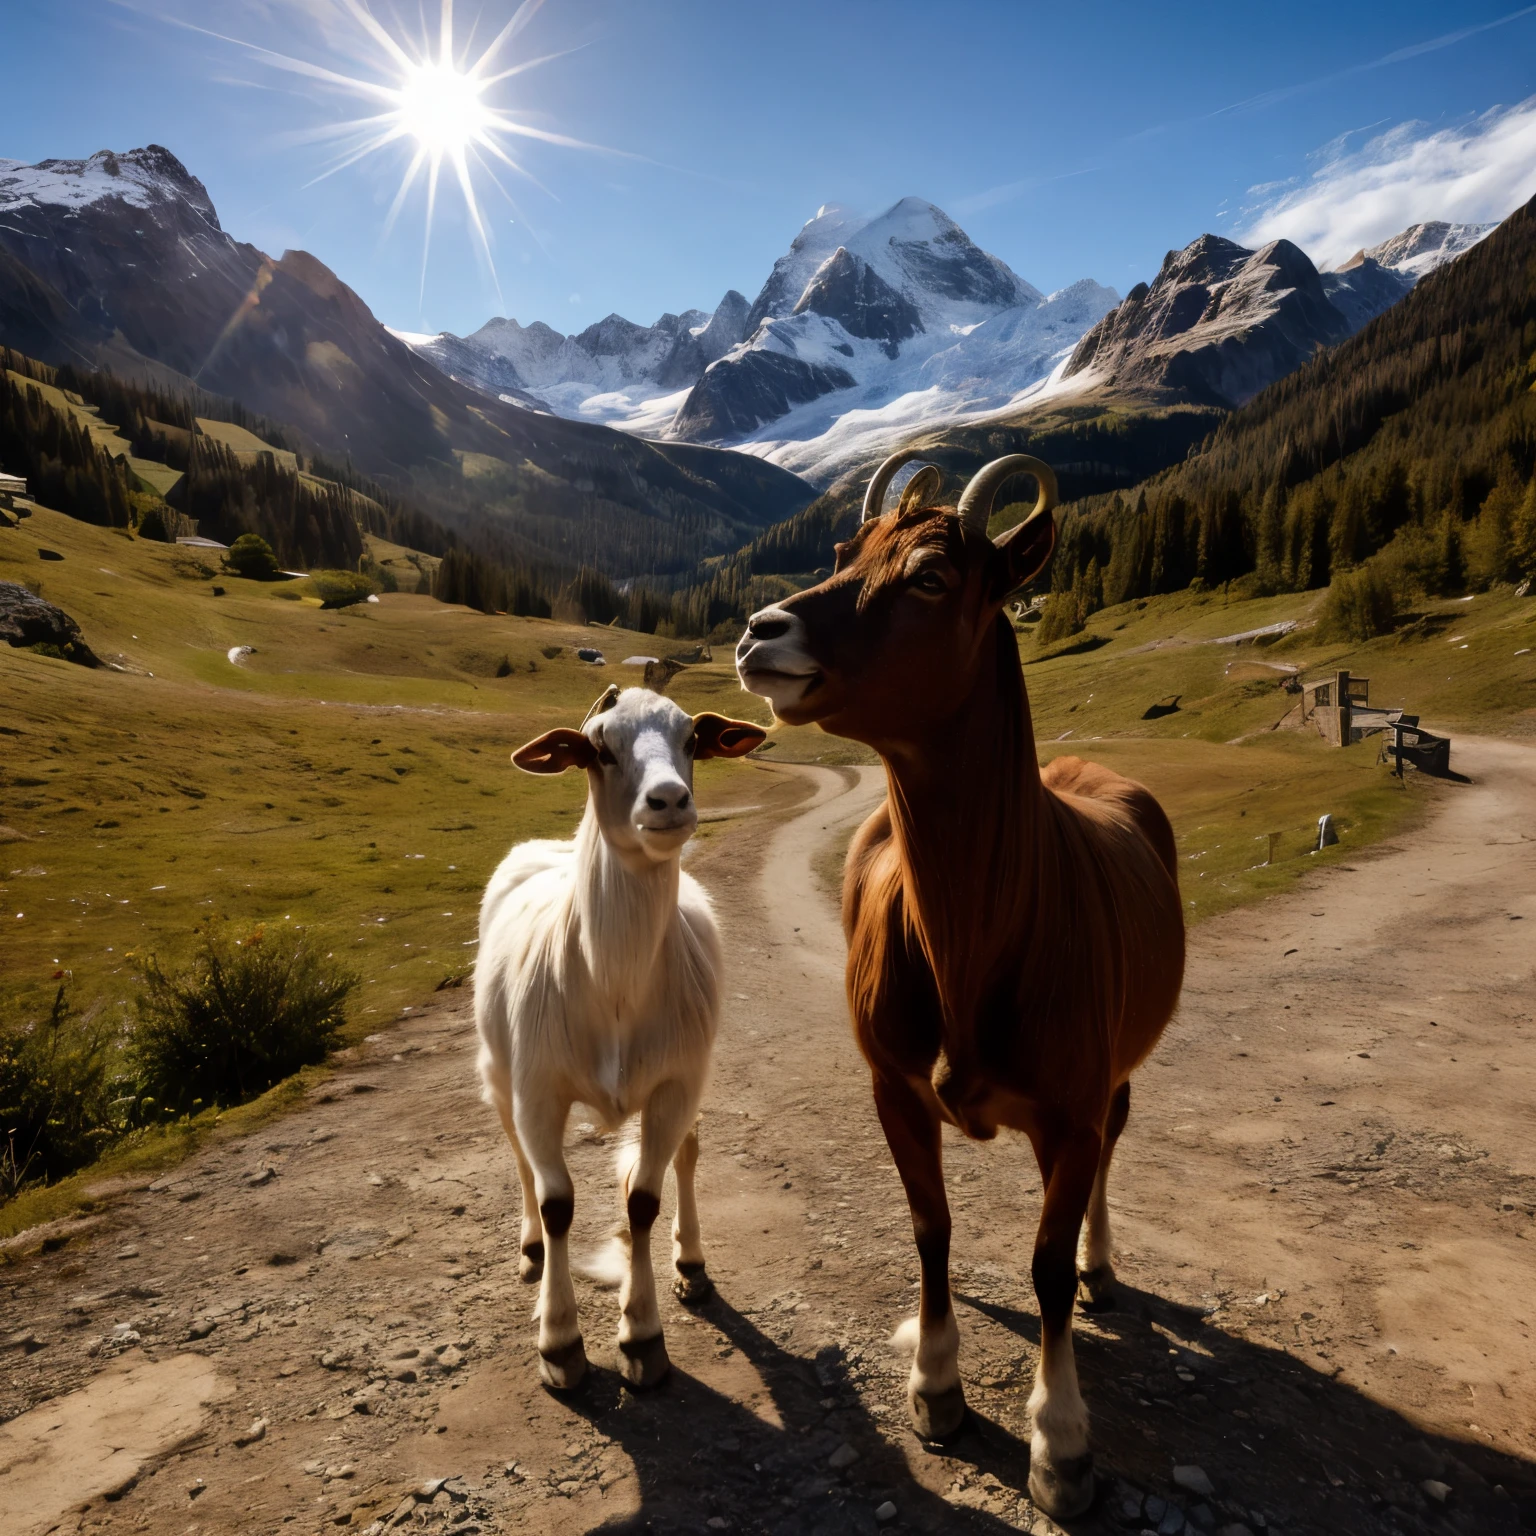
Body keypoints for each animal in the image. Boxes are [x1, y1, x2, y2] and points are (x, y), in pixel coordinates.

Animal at [476, 688, 764, 1394]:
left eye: (692, 740)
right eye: (599, 748)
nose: (669, 800)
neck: (613, 982)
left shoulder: (676, 1084)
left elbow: (643, 1200)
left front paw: (642, 1336)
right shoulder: (537, 1091)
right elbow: (556, 1203)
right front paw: (560, 1343)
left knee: (687, 1154)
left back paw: (690, 1264)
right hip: (499, 1074)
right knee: (519, 1161)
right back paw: (530, 1249)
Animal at [734, 448, 1185, 1517]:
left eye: (933, 575)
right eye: (843, 553)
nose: (762, 631)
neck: (978, 943)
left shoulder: (1069, 1108)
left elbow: (1047, 1269)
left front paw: (1061, 1444)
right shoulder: (893, 1089)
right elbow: (930, 1227)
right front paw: (936, 1386)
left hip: (1113, 1073)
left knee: (1115, 1143)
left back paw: (1105, 1264)